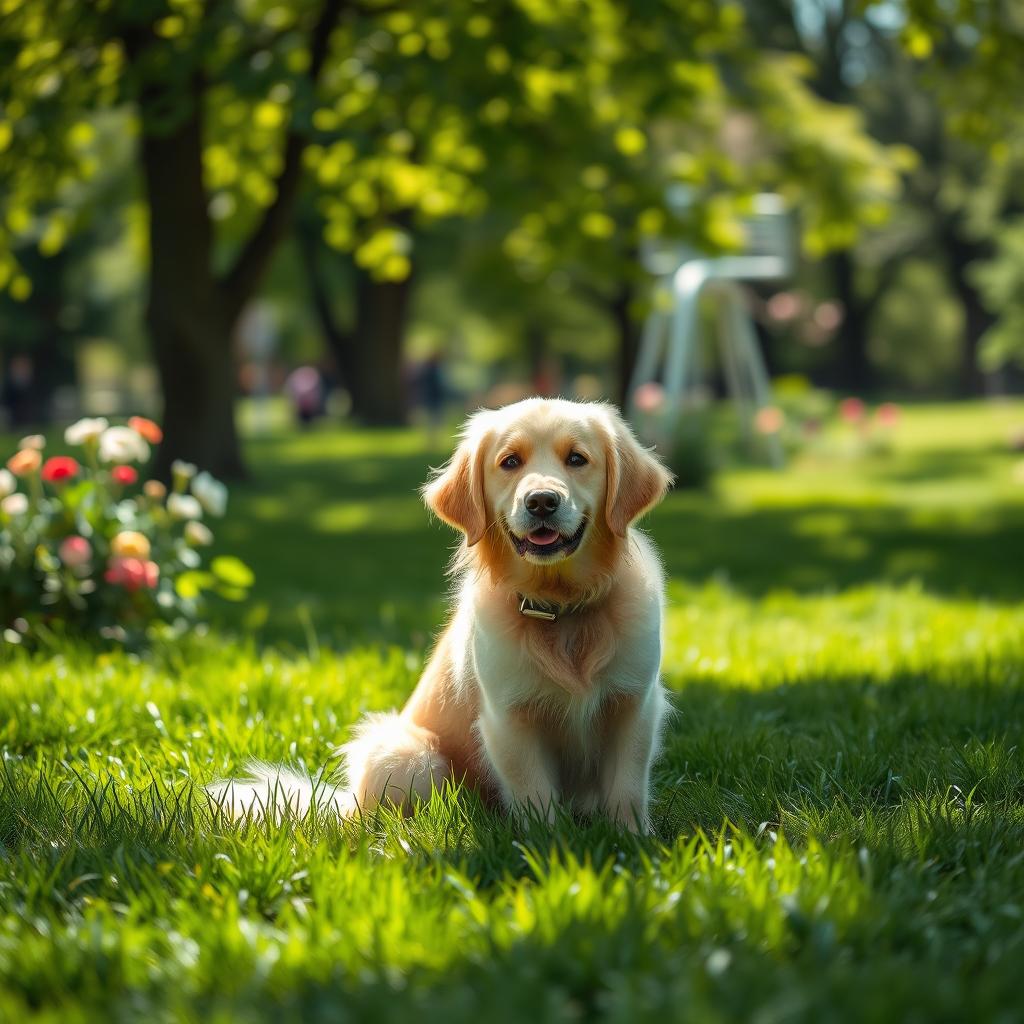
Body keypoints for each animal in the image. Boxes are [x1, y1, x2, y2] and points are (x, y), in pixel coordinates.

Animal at [210, 397, 671, 831]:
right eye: (510, 462)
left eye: (577, 459)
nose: (541, 502)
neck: (561, 607)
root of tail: (345, 805)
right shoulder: (508, 717)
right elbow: (535, 794)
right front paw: (547, 842)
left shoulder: (635, 704)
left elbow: (627, 787)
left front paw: (631, 837)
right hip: (411, 758)